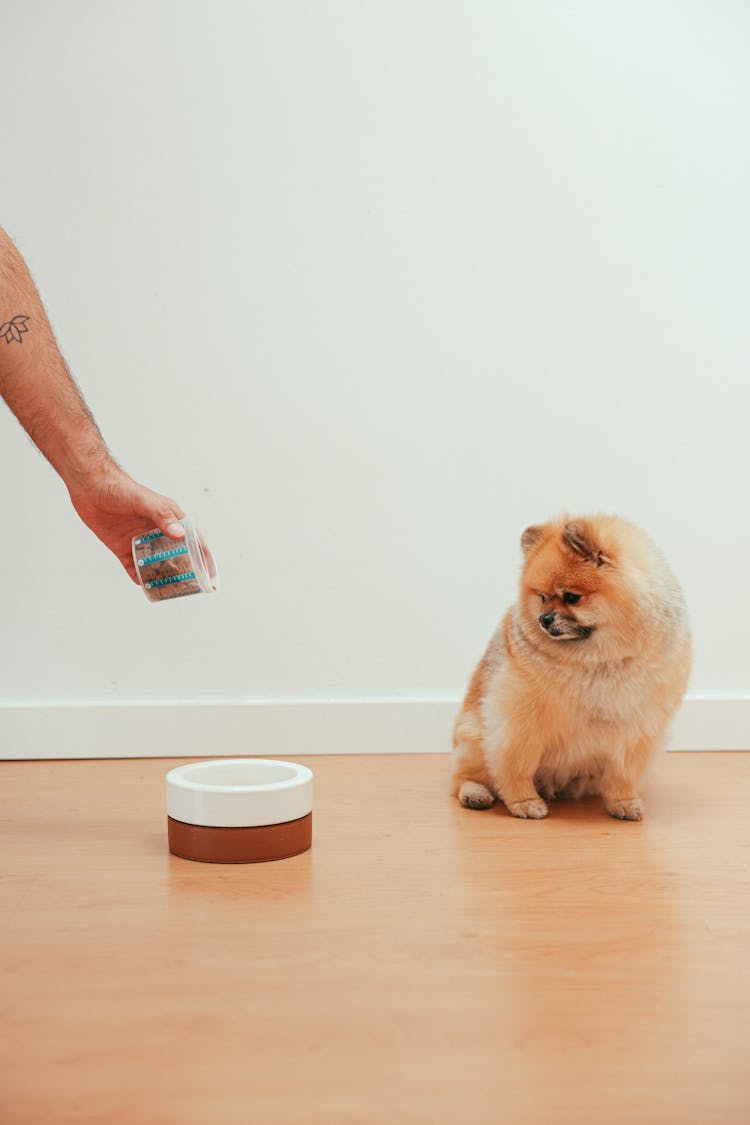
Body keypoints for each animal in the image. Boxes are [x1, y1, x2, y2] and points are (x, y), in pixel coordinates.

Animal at [452, 515, 692, 819]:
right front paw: (523, 802)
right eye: (542, 597)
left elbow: (623, 772)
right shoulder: (518, 721)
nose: (543, 620)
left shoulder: (638, 727)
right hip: (473, 737)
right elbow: (516, 765)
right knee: (463, 775)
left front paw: (624, 801)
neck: (600, 659)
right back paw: (475, 793)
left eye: (571, 597)